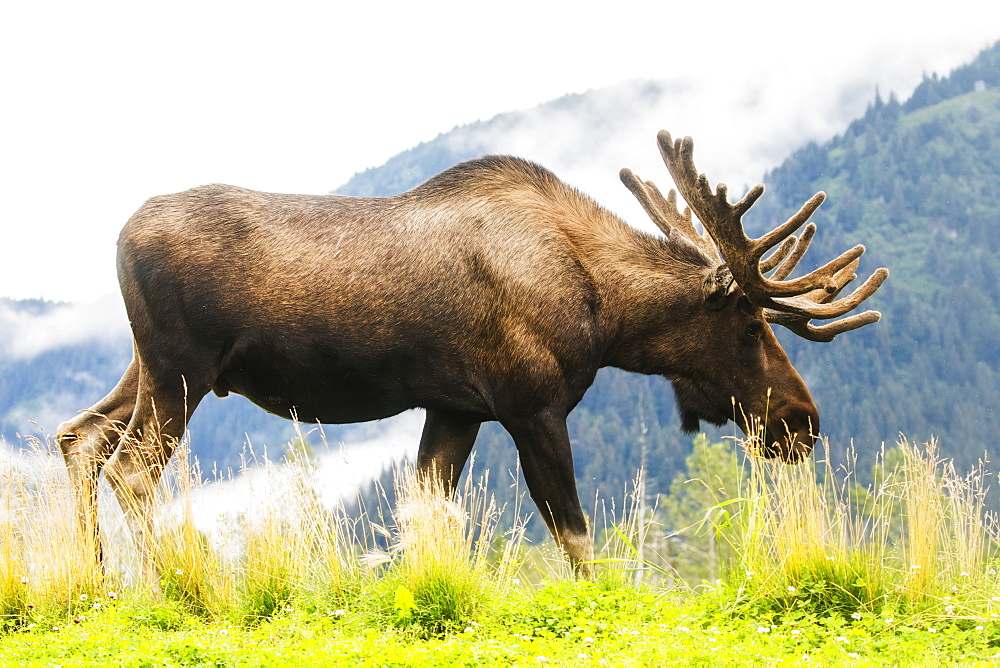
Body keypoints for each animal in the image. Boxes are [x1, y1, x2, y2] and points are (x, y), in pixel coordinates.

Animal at [56, 132, 884, 576]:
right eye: (750, 324)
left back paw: (96, 579)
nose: (803, 422)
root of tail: (120, 236)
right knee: (131, 467)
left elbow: (427, 517)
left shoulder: (454, 409)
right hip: (182, 370)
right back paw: (181, 587)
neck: (605, 312)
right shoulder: (530, 403)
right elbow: (575, 534)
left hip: (150, 366)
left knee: (80, 435)